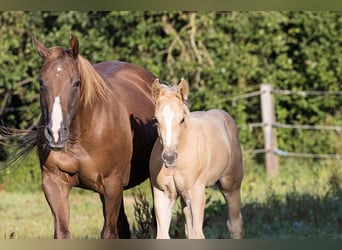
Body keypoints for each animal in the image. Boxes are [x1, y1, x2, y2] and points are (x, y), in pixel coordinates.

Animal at [30, 35, 157, 238]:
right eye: (41, 82)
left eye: (76, 83)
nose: (55, 134)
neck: (79, 139)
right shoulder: (53, 182)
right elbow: (62, 232)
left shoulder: (112, 184)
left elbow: (109, 233)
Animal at [150, 78, 243, 238]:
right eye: (156, 120)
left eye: (181, 119)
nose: (169, 157)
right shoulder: (163, 194)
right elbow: (163, 235)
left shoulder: (196, 193)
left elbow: (198, 234)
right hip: (184, 198)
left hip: (231, 186)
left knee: (235, 224)